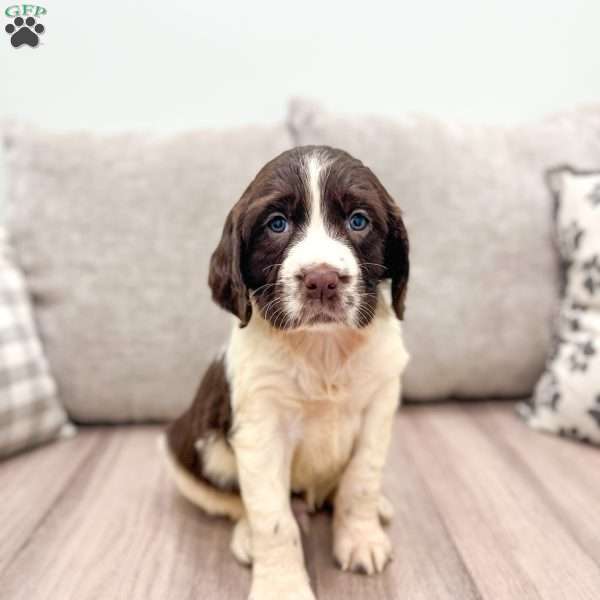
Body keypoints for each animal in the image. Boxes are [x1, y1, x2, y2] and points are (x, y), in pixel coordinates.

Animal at [159, 145, 410, 600]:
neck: (323, 348)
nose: (322, 280)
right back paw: (245, 536)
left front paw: (360, 537)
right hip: (187, 453)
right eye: (277, 224)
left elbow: (361, 480)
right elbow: (272, 519)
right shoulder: (261, 429)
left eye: (358, 221)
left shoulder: (380, 404)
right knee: (232, 500)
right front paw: (282, 587)